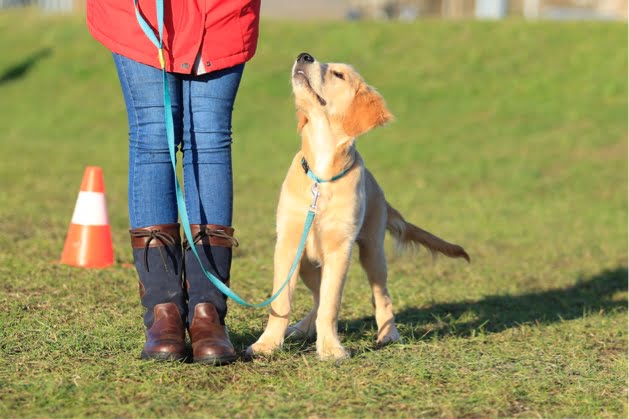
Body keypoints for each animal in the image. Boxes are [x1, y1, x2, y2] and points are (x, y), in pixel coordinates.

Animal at [245, 51, 466, 360]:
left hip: (372, 252)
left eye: (338, 74)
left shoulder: (341, 248)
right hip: (307, 262)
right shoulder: (288, 244)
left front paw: (330, 348)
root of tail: (381, 194)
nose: (304, 56)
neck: (321, 174)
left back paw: (388, 334)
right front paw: (266, 344)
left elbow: (331, 303)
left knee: (380, 295)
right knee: (316, 295)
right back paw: (301, 329)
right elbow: (282, 302)